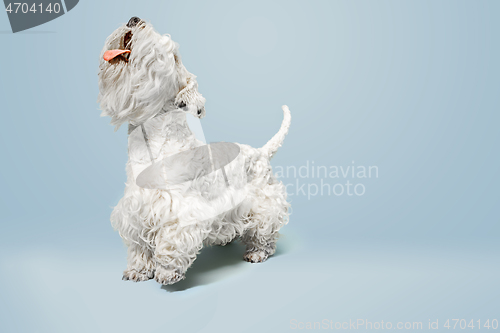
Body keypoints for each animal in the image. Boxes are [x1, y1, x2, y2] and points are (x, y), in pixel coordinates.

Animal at [98, 16, 292, 284]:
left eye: (173, 54)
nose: (134, 19)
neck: (153, 143)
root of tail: (261, 152)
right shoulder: (136, 210)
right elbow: (139, 244)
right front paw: (138, 269)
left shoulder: (180, 210)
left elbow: (171, 241)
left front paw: (167, 272)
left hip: (264, 203)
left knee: (265, 231)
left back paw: (256, 252)